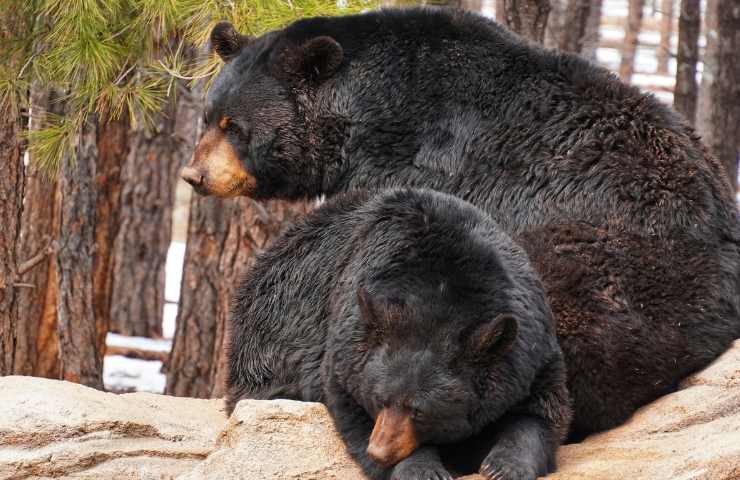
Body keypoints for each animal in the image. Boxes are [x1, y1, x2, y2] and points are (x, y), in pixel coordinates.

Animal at [184, 6, 740, 436]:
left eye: (236, 126)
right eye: (208, 117)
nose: (194, 175)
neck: (368, 114)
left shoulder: (425, 162)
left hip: (601, 269)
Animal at [228, 188, 568, 480]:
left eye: (419, 411)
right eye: (380, 400)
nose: (379, 452)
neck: (441, 292)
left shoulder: (530, 348)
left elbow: (542, 411)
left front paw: (505, 465)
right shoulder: (346, 339)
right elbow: (349, 405)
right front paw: (421, 468)